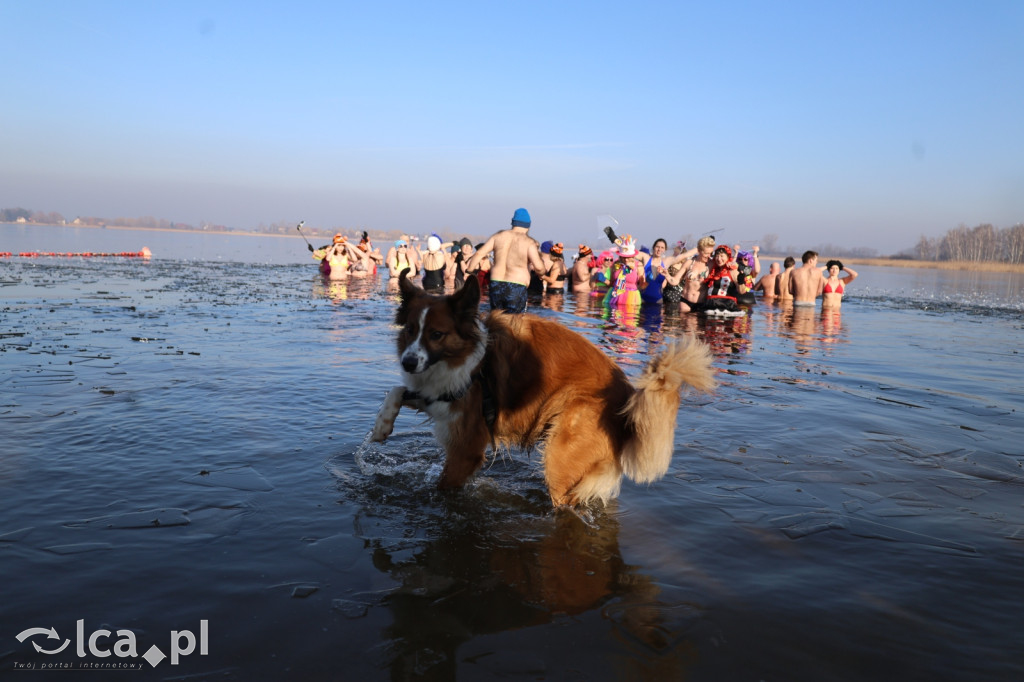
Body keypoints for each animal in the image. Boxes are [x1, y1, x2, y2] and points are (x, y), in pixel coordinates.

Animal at [372, 270, 716, 503]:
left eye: (437, 334)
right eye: (411, 329)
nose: (407, 362)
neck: (470, 358)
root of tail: (628, 399)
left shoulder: (466, 445)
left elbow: (444, 486)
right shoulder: (439, 396)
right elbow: (397, 390)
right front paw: (381, 426)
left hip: (562, 449)